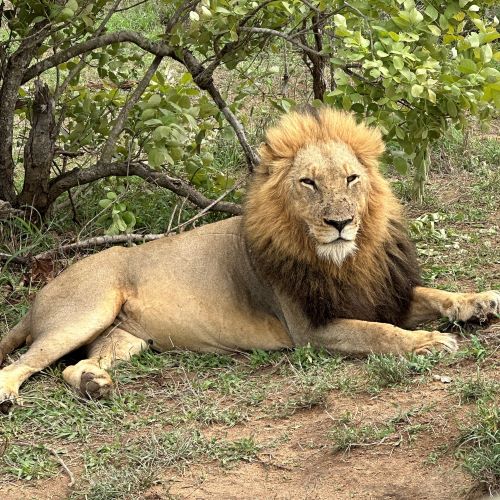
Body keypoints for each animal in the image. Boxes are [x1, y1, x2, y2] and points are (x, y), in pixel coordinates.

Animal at [0, 107, 500, 412]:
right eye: (308, 183)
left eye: (351, 178)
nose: (340, 223)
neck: (346, 259)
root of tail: (40, 295)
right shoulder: (311, 329)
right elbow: (379, 333)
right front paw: (428, 342)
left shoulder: (382, 292)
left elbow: (434, 295)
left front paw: (479, 302)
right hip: (85, 311)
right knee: (22, 362)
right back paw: (9, 392)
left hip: (126, 338)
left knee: (74, 367)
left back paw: (94, 384)